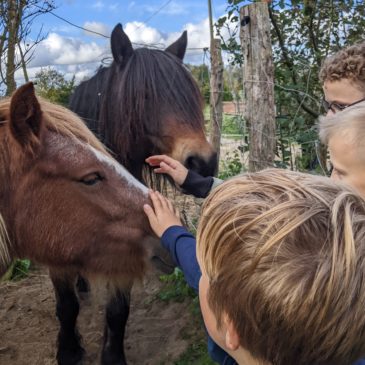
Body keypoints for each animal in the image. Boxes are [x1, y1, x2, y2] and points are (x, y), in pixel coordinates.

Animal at [68, 24, 216, 362]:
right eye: (144, 97)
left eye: (192, 96)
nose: (203, 163)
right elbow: (65, 306)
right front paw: (69, 351)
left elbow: (118, 309)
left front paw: (112, 356)